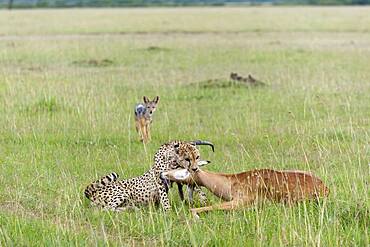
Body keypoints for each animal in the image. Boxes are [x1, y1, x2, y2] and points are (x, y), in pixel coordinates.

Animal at [84, 140, 214, 211]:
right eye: (187, 158)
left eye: (197, 157)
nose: (195, 168)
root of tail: (93, 193)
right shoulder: (161, 179)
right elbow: (165, 199)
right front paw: (168, 212)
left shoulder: (179, 178)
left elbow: (195, 185)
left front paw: (204, 201)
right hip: (122, 193)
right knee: (106, 209)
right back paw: (130, 209)